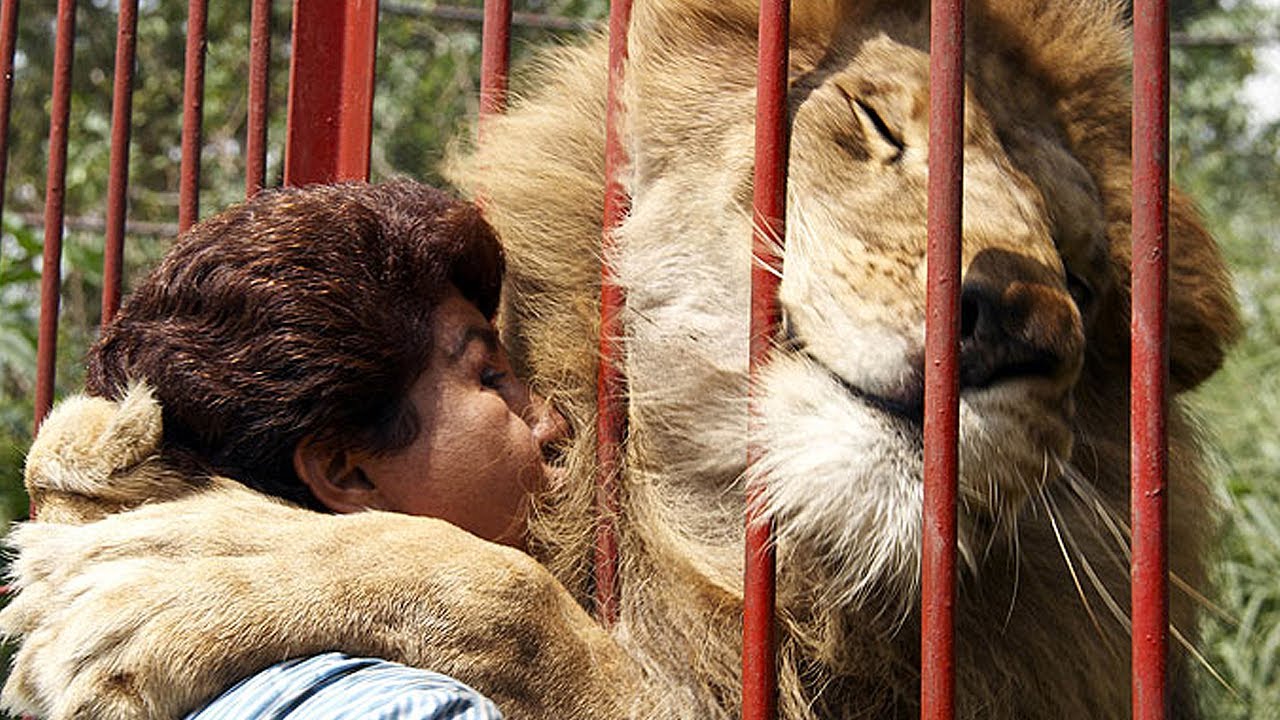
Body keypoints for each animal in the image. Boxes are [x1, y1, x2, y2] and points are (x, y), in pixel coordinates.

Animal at [0, 0, 1238, 718]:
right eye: (877, 125)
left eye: (1086, 280)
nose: (1023, 317)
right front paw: (97, 455)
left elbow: (506, 595)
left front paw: (189, 566)